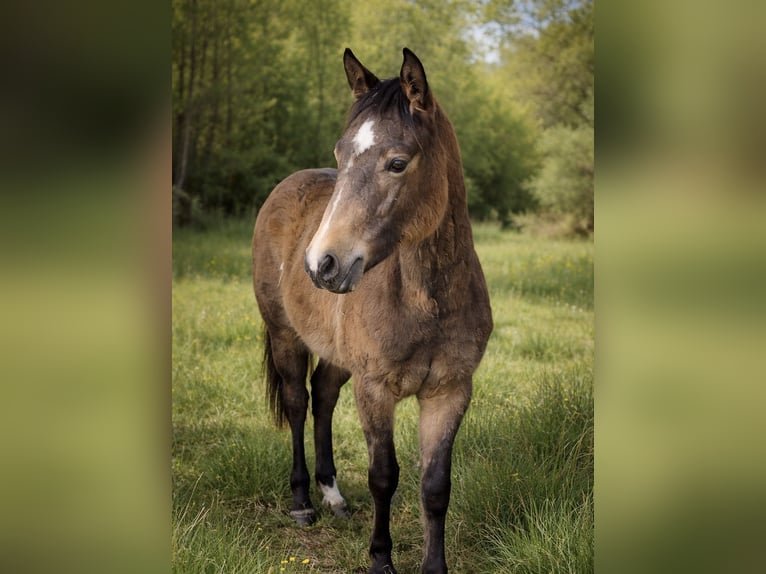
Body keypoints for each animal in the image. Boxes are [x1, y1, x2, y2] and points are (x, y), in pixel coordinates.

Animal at [252, 47, 492, 574]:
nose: (322, 264)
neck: (427, 299)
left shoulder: (449, 391)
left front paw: (434, 566)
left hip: (339, 359)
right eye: (340, 155)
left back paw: (333, 497)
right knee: (298, 403)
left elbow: (435, 486)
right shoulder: (376, 389)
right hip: (285, 336)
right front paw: (381, 559)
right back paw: (302, 503)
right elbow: (384, 476)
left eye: (397, 163)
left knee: (322, 397)